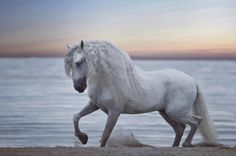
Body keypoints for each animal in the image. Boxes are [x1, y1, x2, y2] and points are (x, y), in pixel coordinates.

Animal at [64, 40, 218, 147]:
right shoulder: (94, 105)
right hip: (166, 113)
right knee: (180, 128)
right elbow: (76, 117)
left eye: (79, 62)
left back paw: (186, 144)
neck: (108, 81)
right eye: (70, 63)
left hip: (176, 112)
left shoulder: (114, 112)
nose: (78, 87)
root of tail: (192, 80)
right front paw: (83, 138)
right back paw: (175, 146)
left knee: (196, 121)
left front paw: (86, 139)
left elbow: (105, 135)